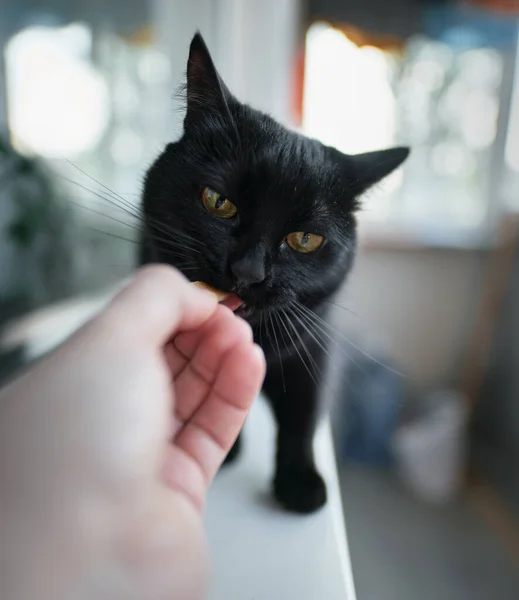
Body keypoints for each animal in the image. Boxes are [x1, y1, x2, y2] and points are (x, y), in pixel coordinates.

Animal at [140, 32, 408, 512]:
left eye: (305, 240)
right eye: (218, 202)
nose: (247, 272)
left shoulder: (314, 344)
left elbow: (304, 413)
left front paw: (300, 483)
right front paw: (230, 450)